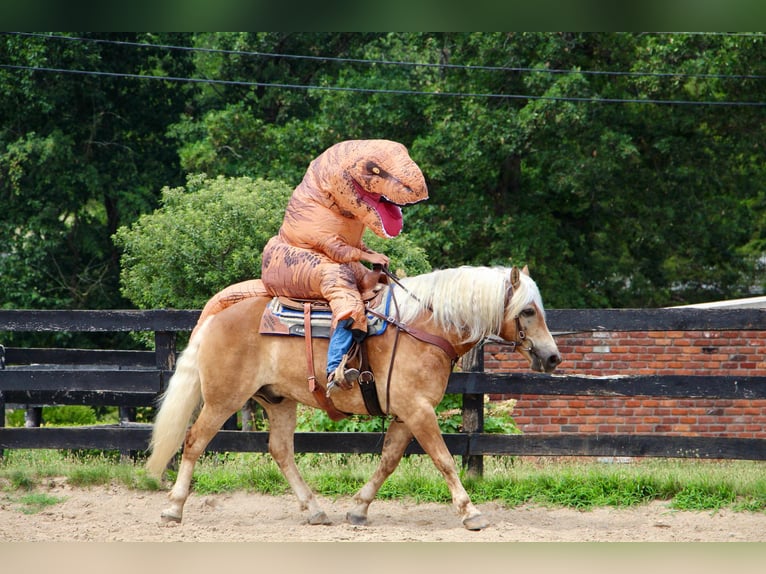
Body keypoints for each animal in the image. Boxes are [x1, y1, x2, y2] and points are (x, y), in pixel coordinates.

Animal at [146, 268, 564, 532]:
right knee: (193, 442)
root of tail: (217, 317)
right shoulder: (419, 410)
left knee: (281, 451)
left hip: (280, 402)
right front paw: (471, 512)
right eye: (528, 310)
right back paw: (173, 507)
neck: (425, 327)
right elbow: (445, 461)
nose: (552, 357)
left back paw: (315, 510)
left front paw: (359, 509)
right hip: (222, 400)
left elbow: (388, 461)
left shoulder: (406, 414)